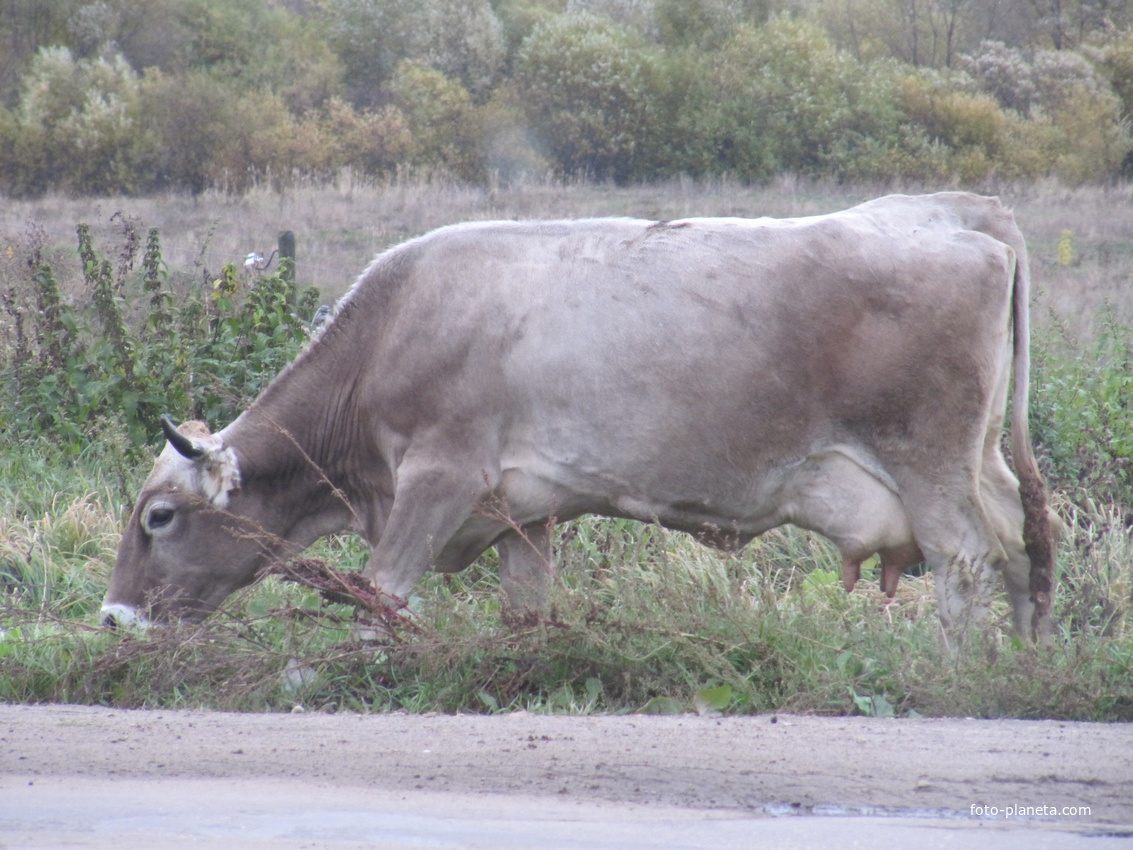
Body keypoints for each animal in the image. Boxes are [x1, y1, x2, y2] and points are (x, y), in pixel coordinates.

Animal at [101, 194, 1055, 639]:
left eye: (160, 517)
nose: (113, 619)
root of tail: (956, 213)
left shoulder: (438, 479)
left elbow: (382, 598)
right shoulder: (525, 512)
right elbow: (525, 612)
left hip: (928, 463)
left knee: (966, 563)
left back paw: (957, 673)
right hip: (980, 463)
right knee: (1021, 551)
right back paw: (1021, 661)